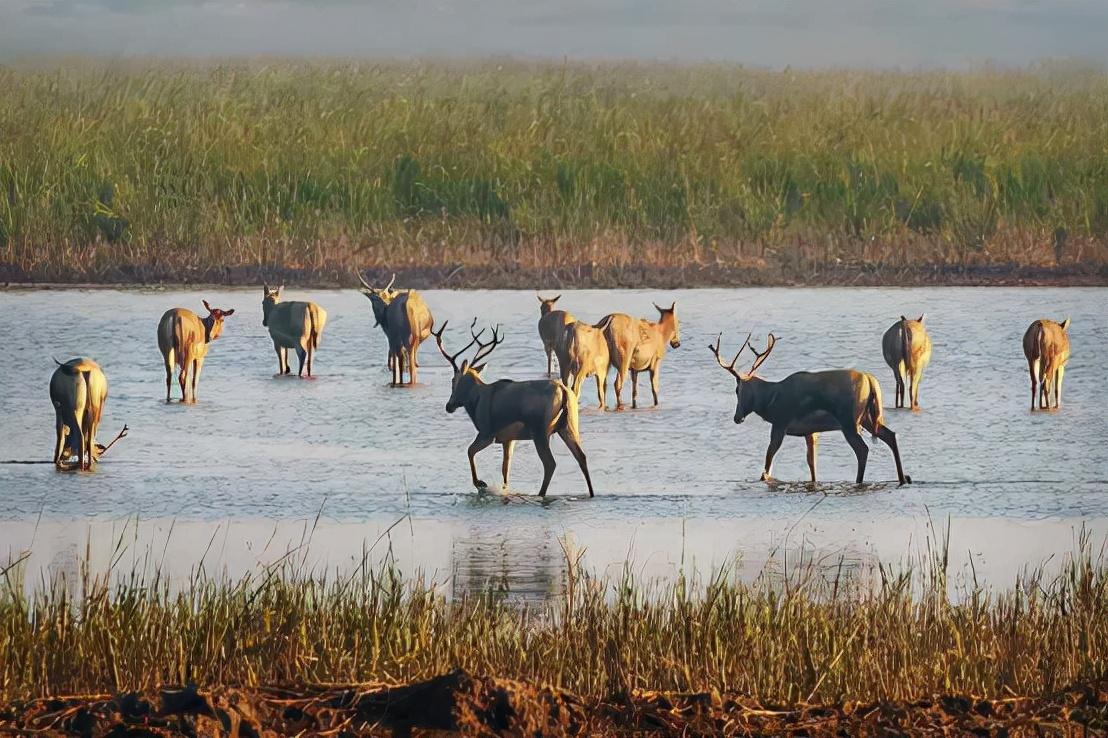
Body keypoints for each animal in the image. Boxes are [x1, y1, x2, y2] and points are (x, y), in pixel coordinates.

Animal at [429, 316, 593, 494]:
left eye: (453, 380)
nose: (449, 406)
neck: (476, 401)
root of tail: (563, 391)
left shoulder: (487, 433)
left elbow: (470, 451)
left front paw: (480, 483)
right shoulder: (508, 439)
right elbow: (505, 468)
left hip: (540, 431)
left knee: (550, 463)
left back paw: (540, 494)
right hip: (568, 426)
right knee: (582, 457)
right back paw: (591, 493)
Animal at [709, 332, 908, 483]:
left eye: (737, 390)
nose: (737, 417)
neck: (771, 402)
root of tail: (870, 380)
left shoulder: (780, 423)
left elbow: (769, 458)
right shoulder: (810, 431)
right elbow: (812, 464)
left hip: (849, 420)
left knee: (863, 449)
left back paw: (859, 481)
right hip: (868, 417)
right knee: (890, 435)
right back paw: (903, 477)